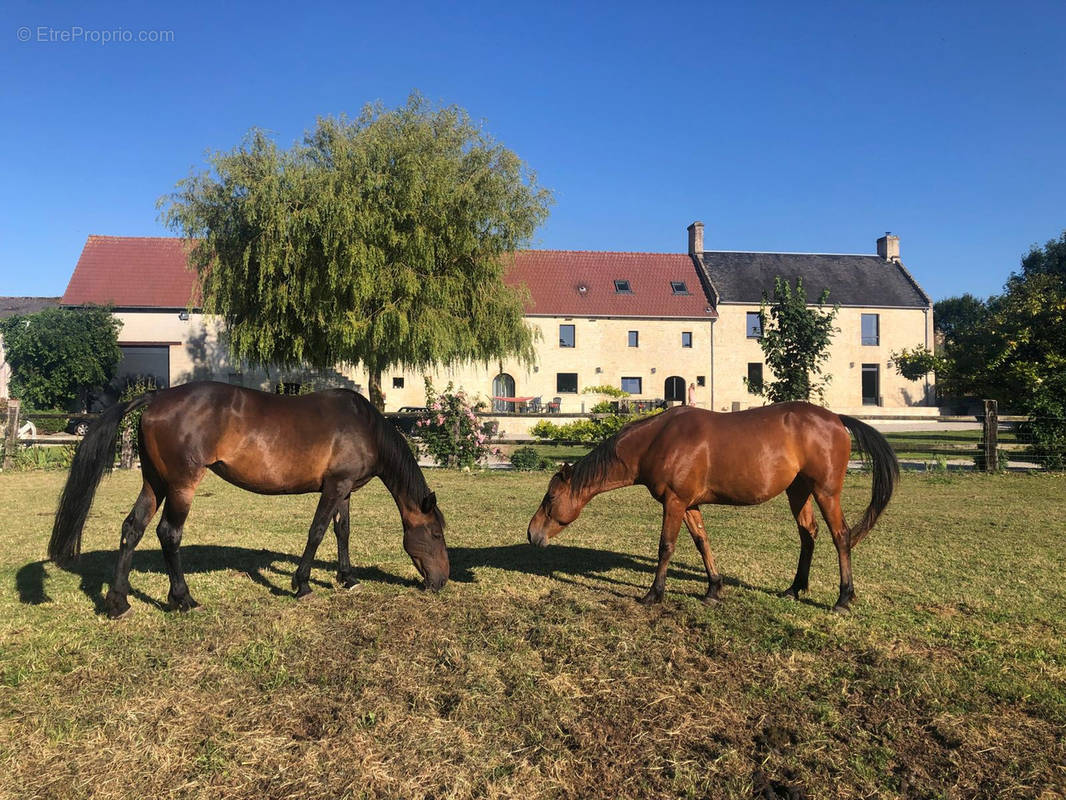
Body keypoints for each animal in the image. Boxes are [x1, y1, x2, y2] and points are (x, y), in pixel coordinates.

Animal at [49, 381, 449, 618]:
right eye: (436, 534)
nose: (442, 581)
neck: (362, 426)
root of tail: (157, 396)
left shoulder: (345, 488)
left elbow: (342, 531)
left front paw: (348, 578)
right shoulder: (335, 487)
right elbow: (317, 532)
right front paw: (303, 585)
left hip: (155, 482)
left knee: (133, 528)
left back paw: (118, 602)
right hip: (180, 485)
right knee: (168, 533)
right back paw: (183, 599)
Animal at [528, 407, 895, 614]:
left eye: (550, 497)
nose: (532, 534)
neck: (657, 440)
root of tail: (835, 419)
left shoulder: (675, 503)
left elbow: (666, 547)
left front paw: (654, 594)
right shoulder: (690, 505)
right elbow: (703, 544)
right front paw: (713, 589)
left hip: (825, 492)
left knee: (841, 536)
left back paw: (844, 598)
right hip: (798, 491)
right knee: (809, 535)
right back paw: (794, 589)